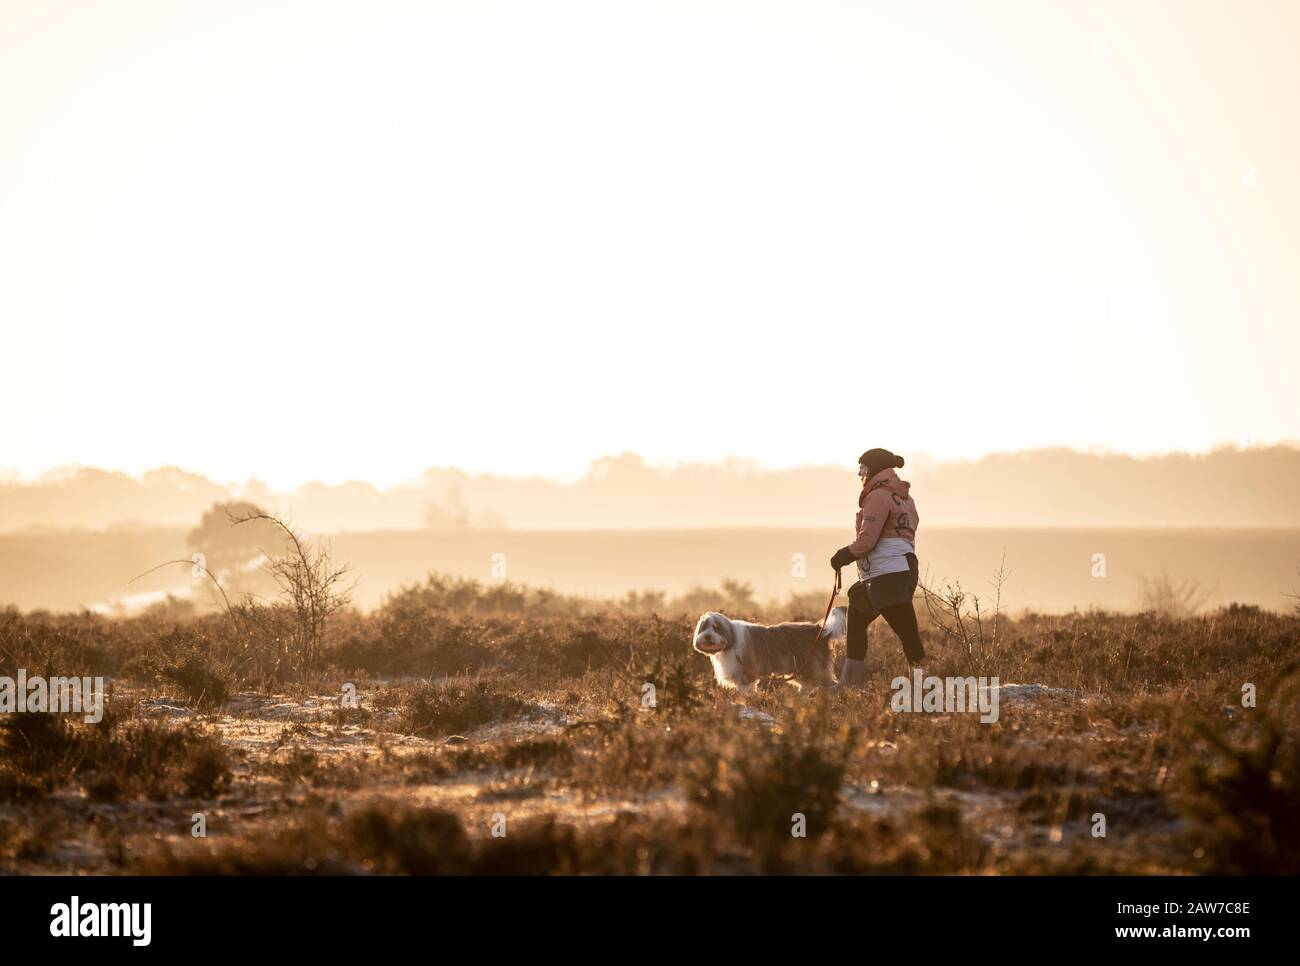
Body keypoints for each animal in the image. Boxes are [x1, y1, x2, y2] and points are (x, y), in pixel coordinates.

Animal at [696, 608, 847, 691]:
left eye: (716, 628)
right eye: (704, 628)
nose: (708, 636)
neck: (731, 638)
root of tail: (819, 629)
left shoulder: (746, 674)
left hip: (812, 666)